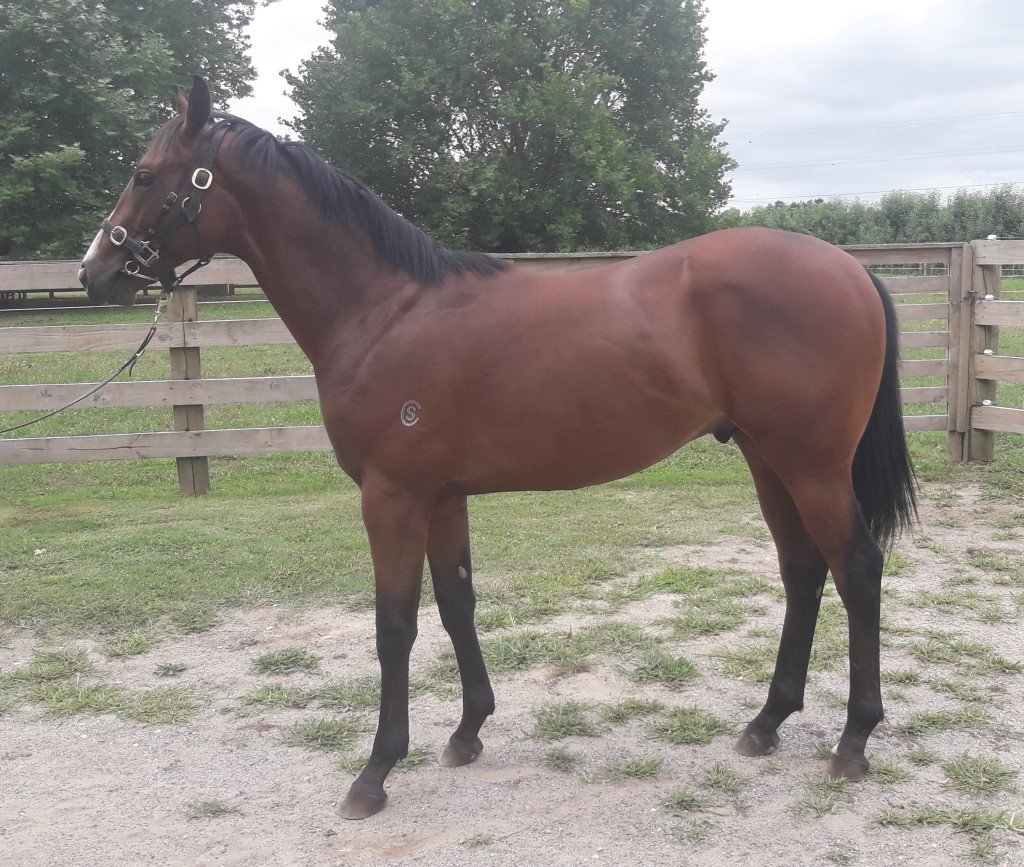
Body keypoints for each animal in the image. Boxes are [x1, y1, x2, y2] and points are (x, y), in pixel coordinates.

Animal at [79, 76, 917, 819]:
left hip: (811, 466)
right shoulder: (442, 495)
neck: (383, 310)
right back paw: (765, 722)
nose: (95, 272)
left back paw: (852, 740)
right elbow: (456, 602)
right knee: (803, 570)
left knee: (856, 569)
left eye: (144, 173)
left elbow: (394, 625)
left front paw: (376, 771)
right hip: (766, 458)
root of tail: (850, 267)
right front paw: (467, 730)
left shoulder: (391, 495)